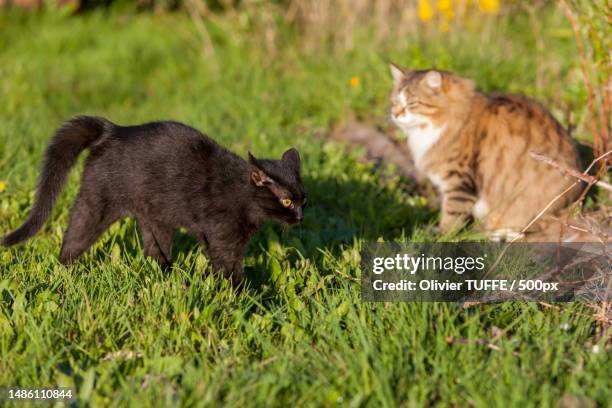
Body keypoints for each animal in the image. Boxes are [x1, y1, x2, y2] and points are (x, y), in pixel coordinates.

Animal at [0, 116, 306, 286]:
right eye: (287, 202)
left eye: (304, 199)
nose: (300, 217)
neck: (242, 195)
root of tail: (113, 130)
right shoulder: (223, 239)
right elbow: (229, 270)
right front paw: (242, 298)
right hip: (95, 205)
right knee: (72, 241)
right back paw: (67, 273)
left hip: (155, 219)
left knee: (153, 252)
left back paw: (166, 275)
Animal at [390, 64, 580, 239]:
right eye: (394, 102)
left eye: (412, 104)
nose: (395, 114)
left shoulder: (459, 182)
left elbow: (451, 216)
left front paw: (441, 237)